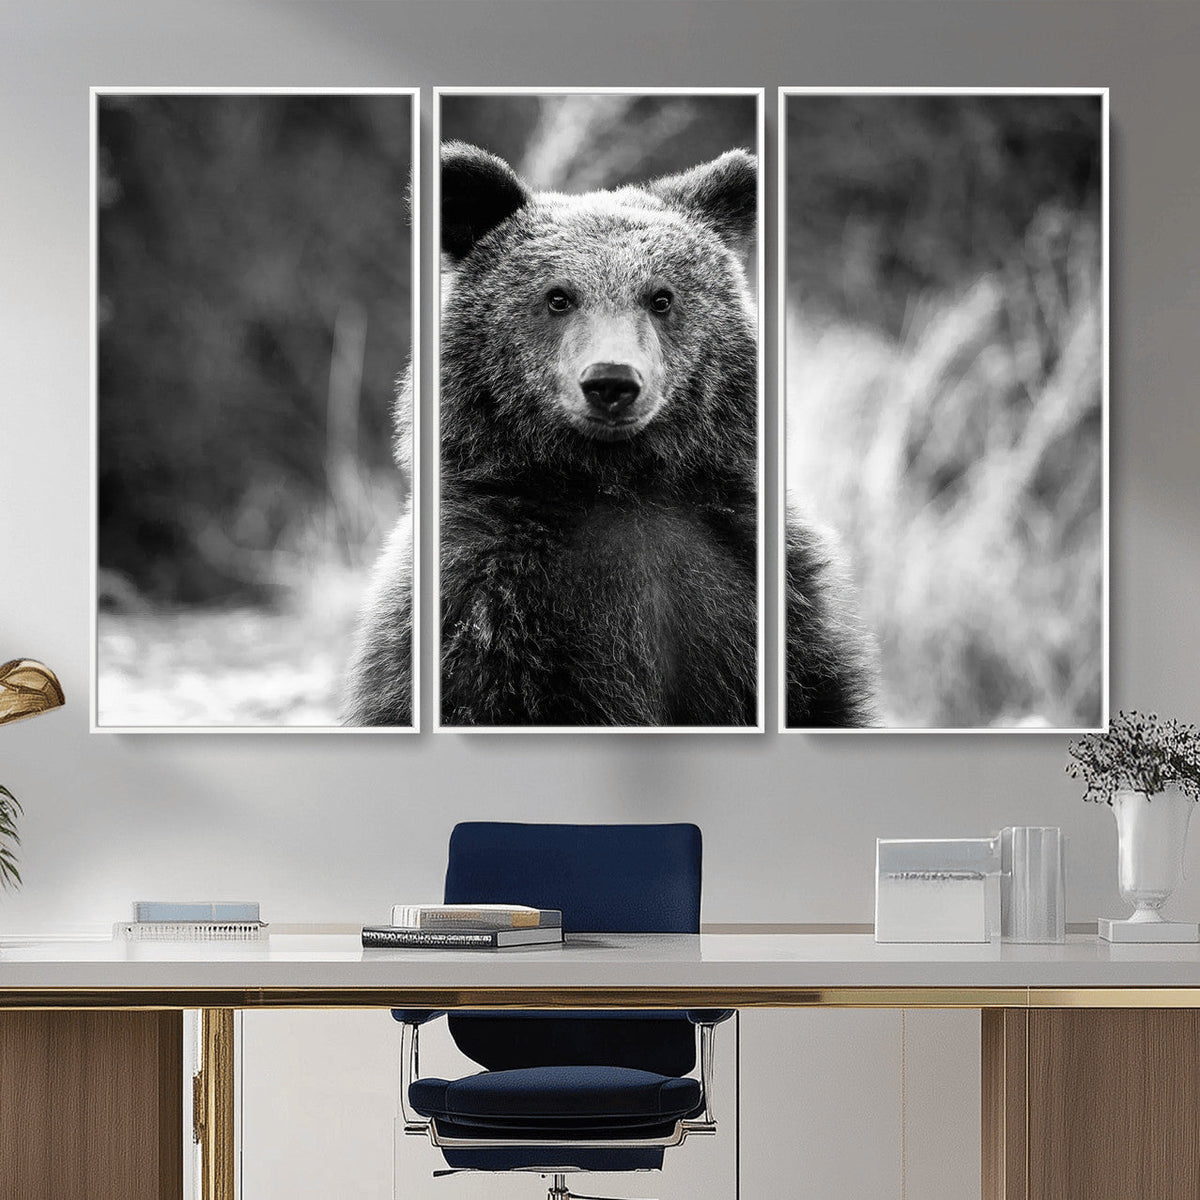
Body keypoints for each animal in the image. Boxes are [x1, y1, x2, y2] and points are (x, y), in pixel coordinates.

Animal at [343, 141, 875, 728]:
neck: (617, 483)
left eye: (661, 297)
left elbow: (814, 694)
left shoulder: (756, 580)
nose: (612, 381)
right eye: (558, 297)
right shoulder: (485, 601)